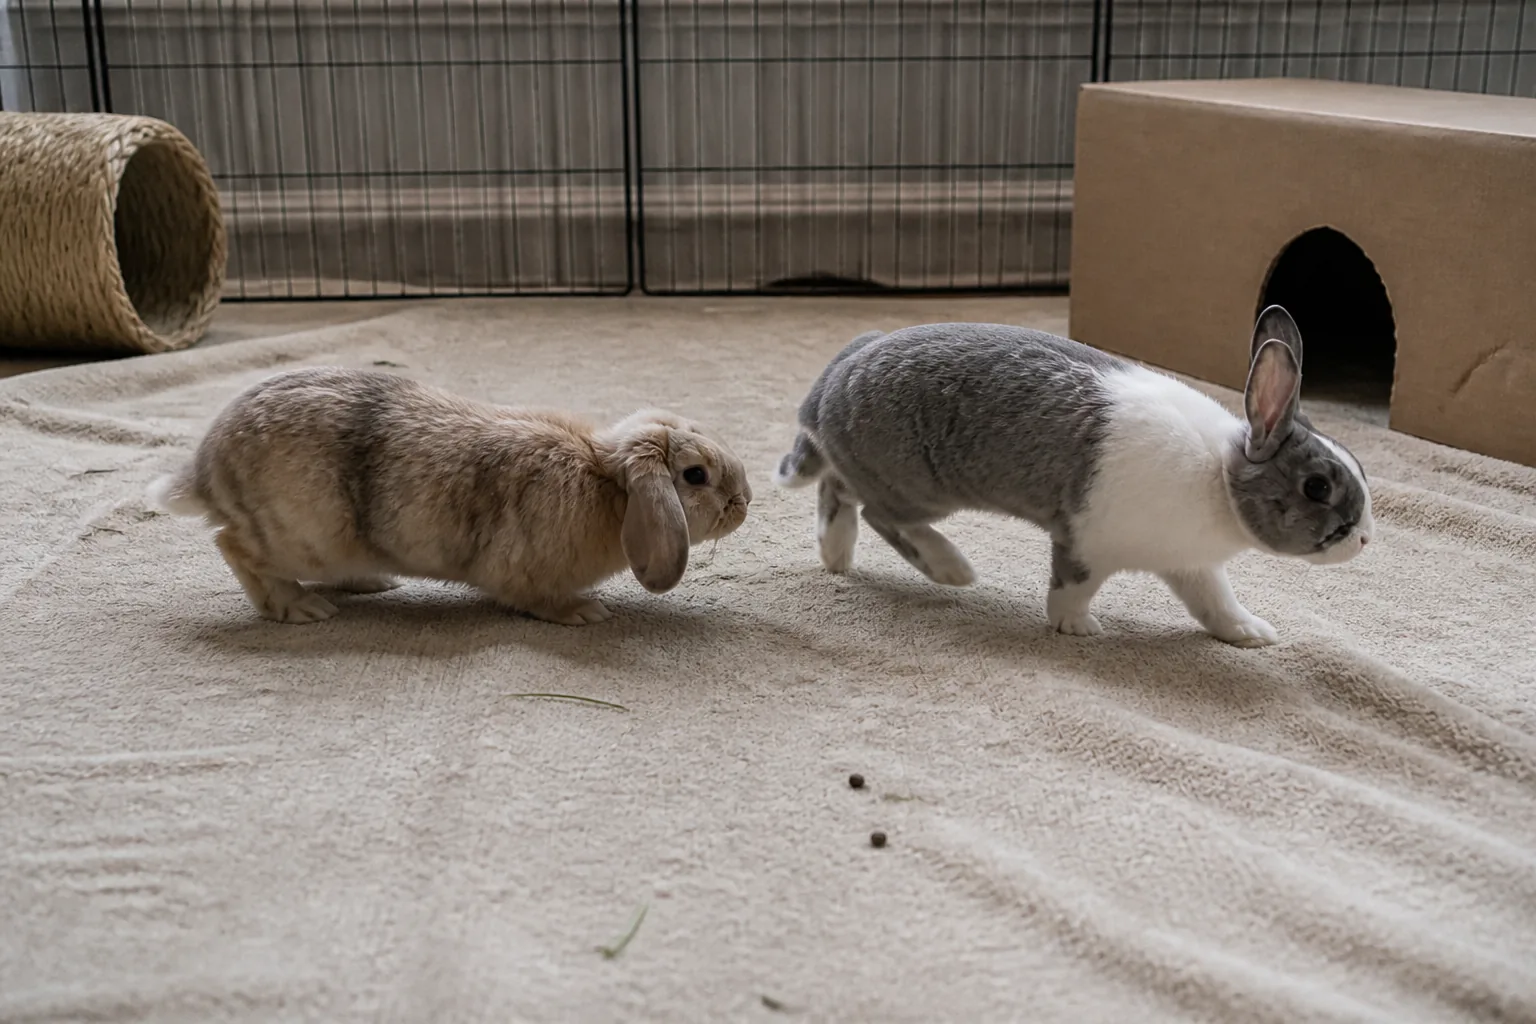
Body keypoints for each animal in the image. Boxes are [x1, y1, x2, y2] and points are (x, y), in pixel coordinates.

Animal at [148, 366, 752, 626]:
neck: (608, 484)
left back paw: (370, 583)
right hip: (300, 537)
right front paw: (586, 613)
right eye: (695, 476)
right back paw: (299, 608)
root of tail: (207, 470)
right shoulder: (527, 577)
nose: (745, 501)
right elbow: (538, 600)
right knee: (232, 546)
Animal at [772, 305, 1373, 647]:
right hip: (914, 487)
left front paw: (1251, 634)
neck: (1221, 478)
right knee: (873, 510)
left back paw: (836, 556)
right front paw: (1076, 629)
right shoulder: (1088, 541)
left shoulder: (1190, 565)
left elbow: (1214, 603)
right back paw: (949, 569)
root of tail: (827, 388)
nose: (1365, 540)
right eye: (1317, 486)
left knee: (835, 487)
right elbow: (1072, 586)